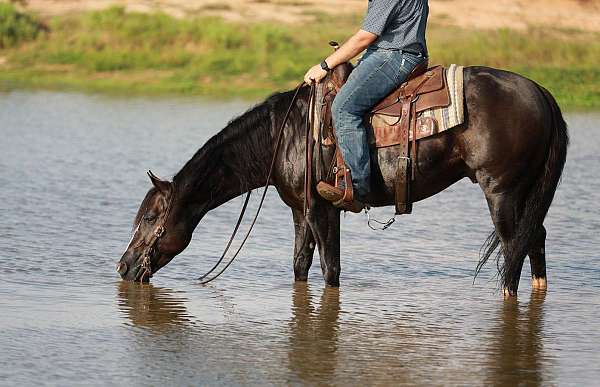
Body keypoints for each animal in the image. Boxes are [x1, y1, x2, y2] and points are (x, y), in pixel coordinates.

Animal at [116, 66, 568, 298]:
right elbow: (300, 267)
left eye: (152, 218)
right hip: (527, 191)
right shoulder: (301, 211)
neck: (284, 135)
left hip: (501, 190)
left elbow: (330, 269)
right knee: (536, 238)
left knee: (513, 248)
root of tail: (542, 93)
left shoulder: (322, 208)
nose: (123, 267)